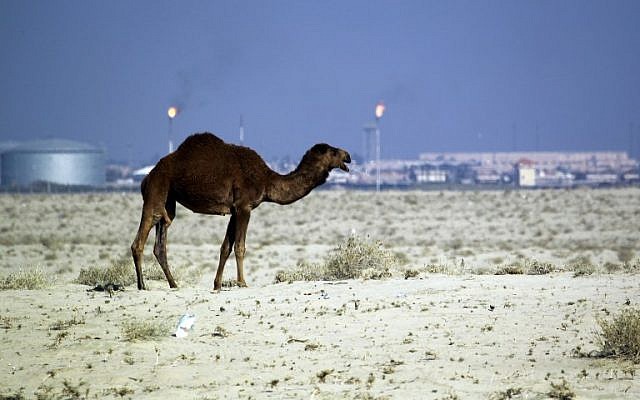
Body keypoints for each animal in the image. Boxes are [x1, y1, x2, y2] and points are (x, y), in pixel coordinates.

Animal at [131, 132, 351, 291]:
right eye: (332, 151)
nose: (348, 156)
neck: (266, 180)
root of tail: (146, 177)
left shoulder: (235, 210)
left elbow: (225, 247)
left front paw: (217, 285)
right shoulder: (244, 206)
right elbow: (240, 247)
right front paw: (242, 283)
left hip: (169, 201)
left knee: (161, 239)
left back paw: (173, 284)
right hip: (157, 190)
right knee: (140, 239)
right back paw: (143, 286)